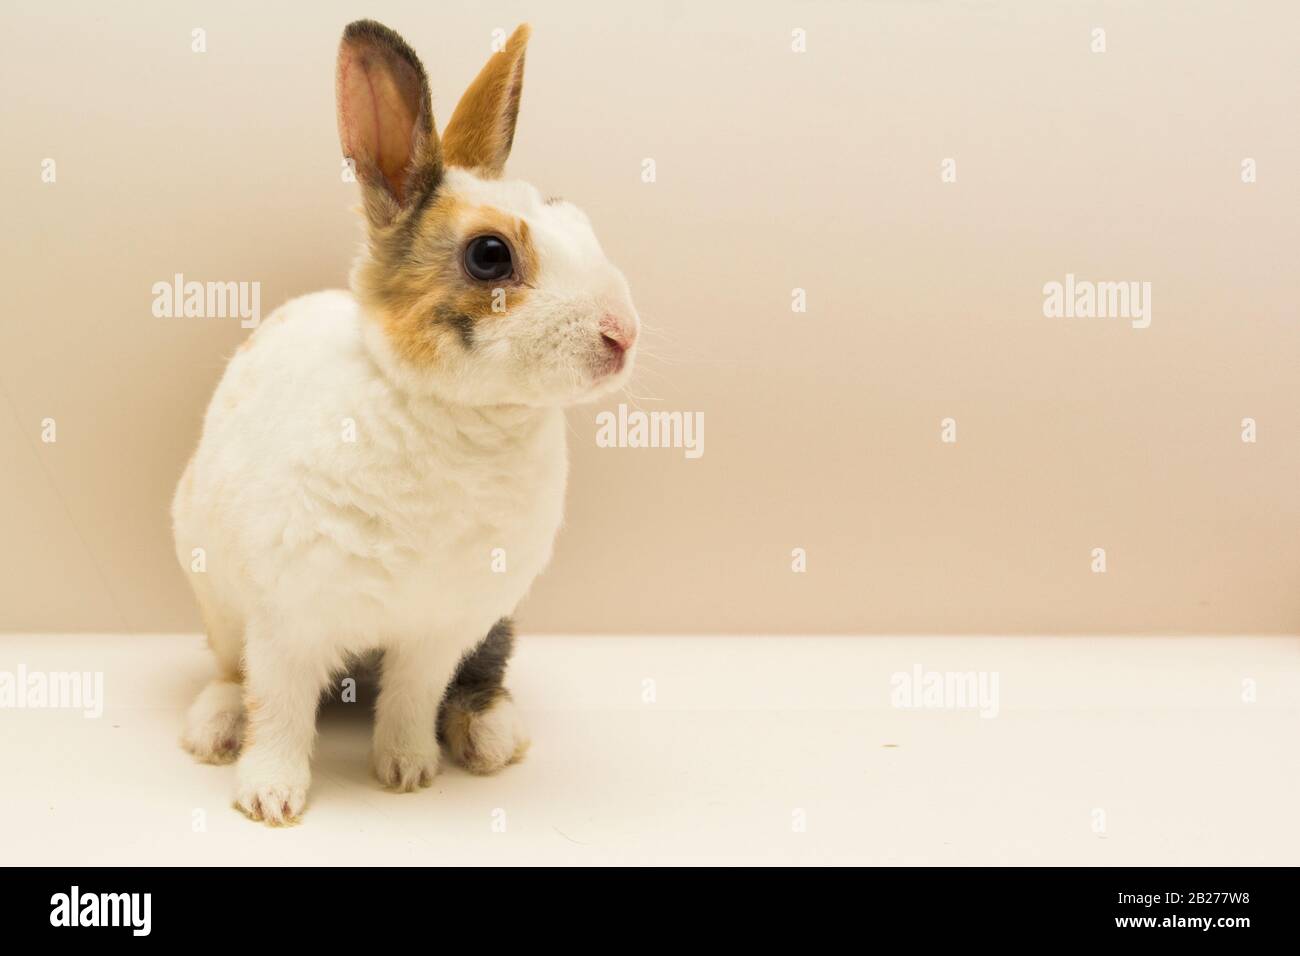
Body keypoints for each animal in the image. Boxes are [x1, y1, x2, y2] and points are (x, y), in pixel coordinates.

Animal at [172, 19, 638, 825]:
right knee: (235, 673)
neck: (457, 416)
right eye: (490, 255)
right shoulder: (287, 620)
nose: (624, 334)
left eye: (576, 219)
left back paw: (491, 736)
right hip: (220, 602)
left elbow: (413, 699)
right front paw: (270, 798)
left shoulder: (440, 629)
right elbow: (281, 708)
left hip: (491, 625)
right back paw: (214, 729)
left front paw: (407, 772)